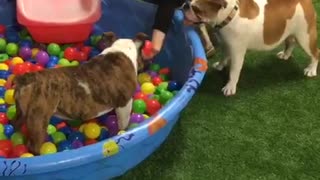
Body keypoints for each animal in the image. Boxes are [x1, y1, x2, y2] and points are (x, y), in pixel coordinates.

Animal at [11, 31, 149, 154]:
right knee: (34, 145)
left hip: (22, 113)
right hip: (39, 119)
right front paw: (123, 131)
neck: (121, 51)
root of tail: (26, 78)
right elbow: (123, 123)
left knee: (15, 124)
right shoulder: (125, 104)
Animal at [184, 0, 318, 95]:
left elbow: (234, 71)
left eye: (196, 9)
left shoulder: (237, 53)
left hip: (305, 37)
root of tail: (304, 2)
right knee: (291, 42)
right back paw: (285, 54)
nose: (185, 5)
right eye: (189, 1)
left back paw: (311, 70)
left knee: (316, 53)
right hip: (290, 32)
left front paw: (230, 87)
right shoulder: (226, 45)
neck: (229, 15)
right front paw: (220, 66)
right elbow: (224, 57)